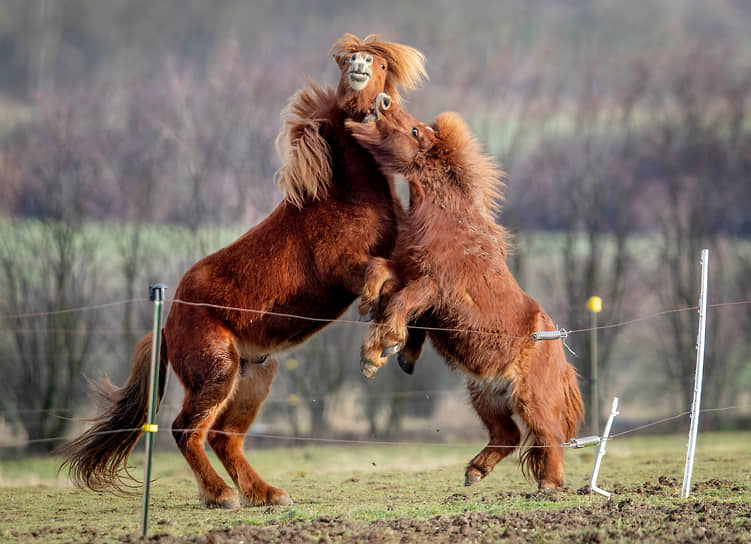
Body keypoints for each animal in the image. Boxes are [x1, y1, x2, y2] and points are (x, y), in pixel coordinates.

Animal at [61, 35, 426, 510]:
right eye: (347, 62)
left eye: (381, 65)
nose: (361, 66)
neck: (342, 194)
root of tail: (168, 323)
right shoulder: (342, 266)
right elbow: (380, 277)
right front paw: (377, 344)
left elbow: (407, 286)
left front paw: (394, 345)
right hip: (218, 371)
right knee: (186, 430)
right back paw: (221, 496)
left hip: (254, 375)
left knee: (224, 437)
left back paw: (267, 494)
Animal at [348, 106, 588, 488]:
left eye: (415, 130)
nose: (380, 104)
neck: (448, 221)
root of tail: (558, 349)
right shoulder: (407, 271)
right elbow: (379, 272)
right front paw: (374, 312)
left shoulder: (432, 286)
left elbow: (400, 304)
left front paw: (378, 351)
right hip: (485, 396)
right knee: (507, 435)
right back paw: (475, 471)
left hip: (530, 400)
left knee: (549, 435)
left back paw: (549, 486)